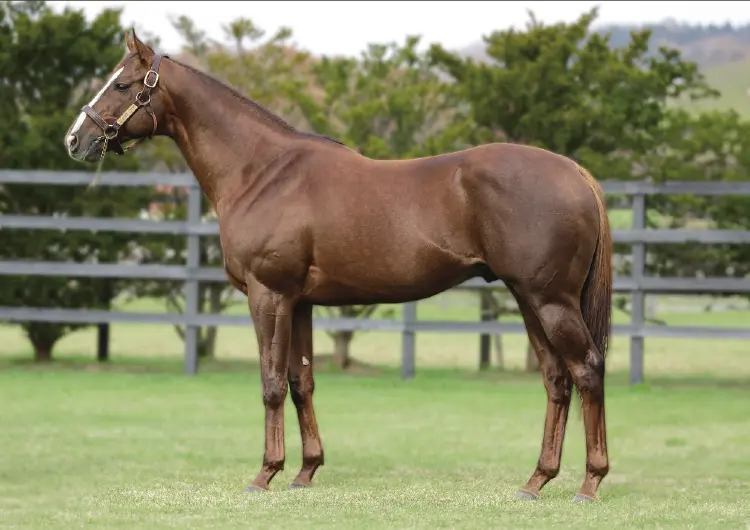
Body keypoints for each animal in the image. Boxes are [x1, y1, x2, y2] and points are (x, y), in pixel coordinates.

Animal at [64, 30, 613, 503]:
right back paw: (536, 481)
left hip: (550, 301)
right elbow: (300, 382)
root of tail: (575, 173)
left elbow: (270, 384)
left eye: (122, 84)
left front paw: (265, 474)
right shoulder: (300, 303)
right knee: (557, 380)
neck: (262, 171)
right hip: (529, 300)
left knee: (587, 369)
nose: (75, 139)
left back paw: (590, 482)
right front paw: (305, 471)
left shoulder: (269, 295)